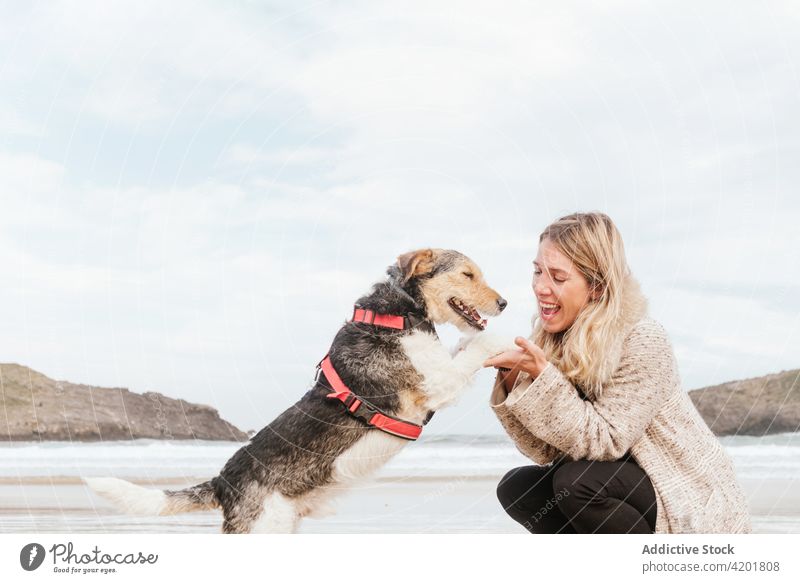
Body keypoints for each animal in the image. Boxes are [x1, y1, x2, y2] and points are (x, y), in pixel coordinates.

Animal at [84, 248, 516, 532]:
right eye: (468, 275)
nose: (504, 303)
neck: (398, 312)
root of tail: (224, 483)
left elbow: (466, 344)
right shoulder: (435, 382)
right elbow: (480, 343)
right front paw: (509, 341)